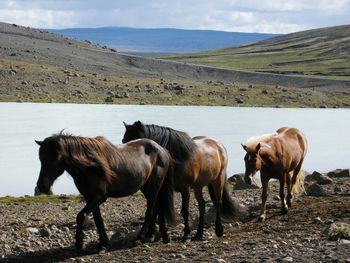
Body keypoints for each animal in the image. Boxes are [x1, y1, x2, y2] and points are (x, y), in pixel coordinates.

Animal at [35, 133, 175, 251]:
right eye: (41, 158)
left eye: (55, 157)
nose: (41, 186)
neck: (90, 167)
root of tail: (163, 150)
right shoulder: (90, 198)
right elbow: (97, 219)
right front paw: (103, 242)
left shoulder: (99, 197)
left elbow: (81, 216)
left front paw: (80, 243)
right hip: (148, 189)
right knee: (157, 209)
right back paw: (159, 235)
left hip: (153, 188)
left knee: (150, 211)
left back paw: (140, 237)